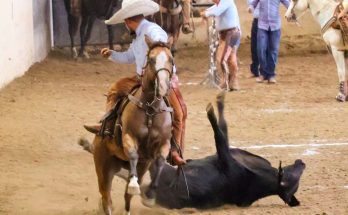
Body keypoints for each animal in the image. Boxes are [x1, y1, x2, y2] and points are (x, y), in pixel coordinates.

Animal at [79, 93, 304, 209]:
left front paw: (211, 110)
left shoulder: (226, 159)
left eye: (292, 180)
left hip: (156, 169)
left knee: (129, 174)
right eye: (295, 174)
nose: (301, 163)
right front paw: (220, 101)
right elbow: (224, 128)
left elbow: (219, 134)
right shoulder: (228, 153)